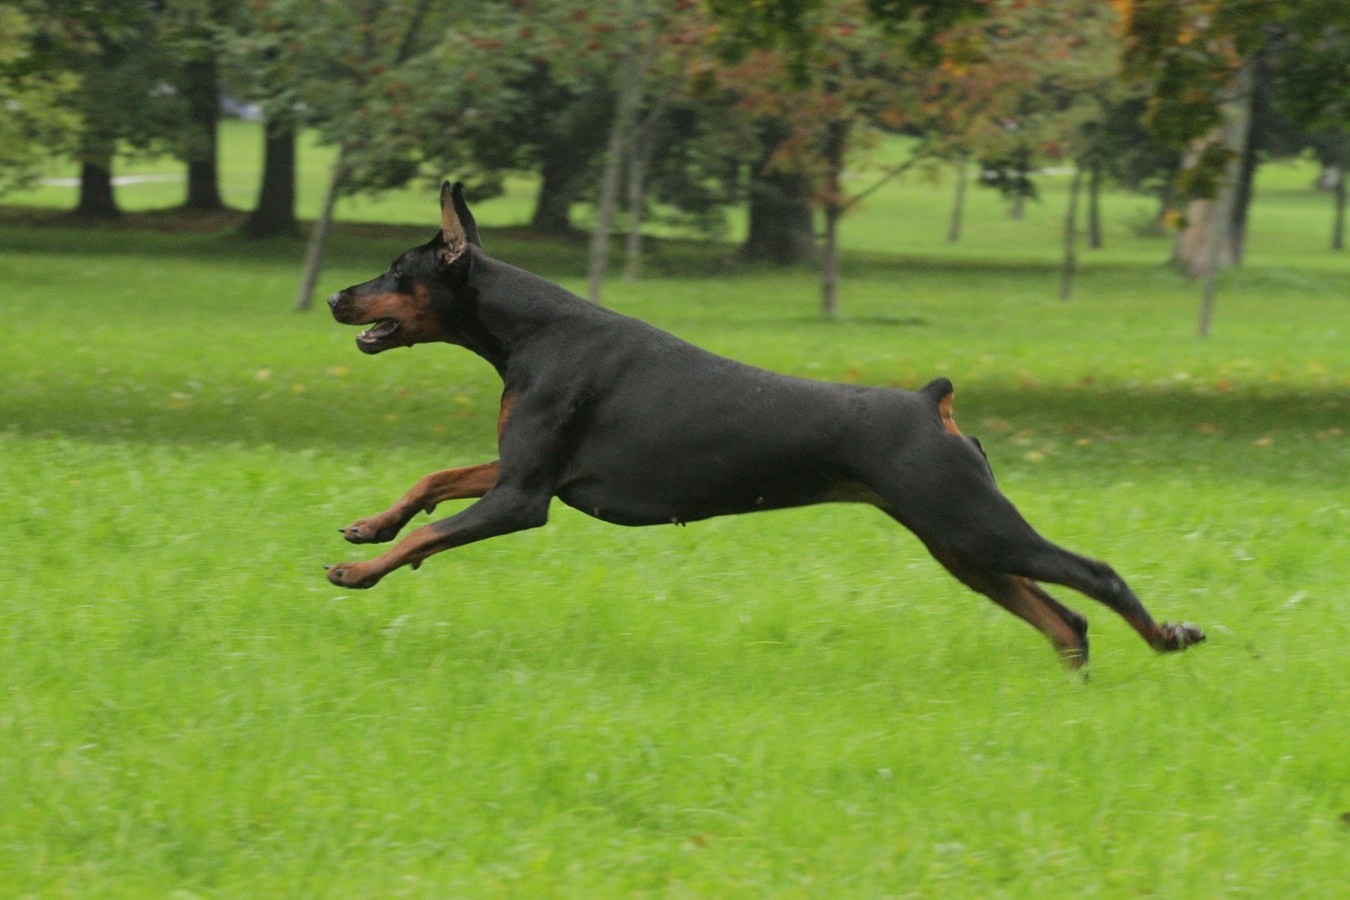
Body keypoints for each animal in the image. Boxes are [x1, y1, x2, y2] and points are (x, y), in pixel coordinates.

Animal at [324, 180, 1204, 669]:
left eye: (398, 269)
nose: (335, 295)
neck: (532, 330)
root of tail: (934, 402)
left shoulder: (525, 498)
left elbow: (436, 531)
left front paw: (364, 570)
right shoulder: (522, 470)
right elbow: (435, 480)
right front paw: (371, 526)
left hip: (975, 526)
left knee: (1097, 577)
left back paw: (1166, 637)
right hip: (956, 544)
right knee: (1065, 618)